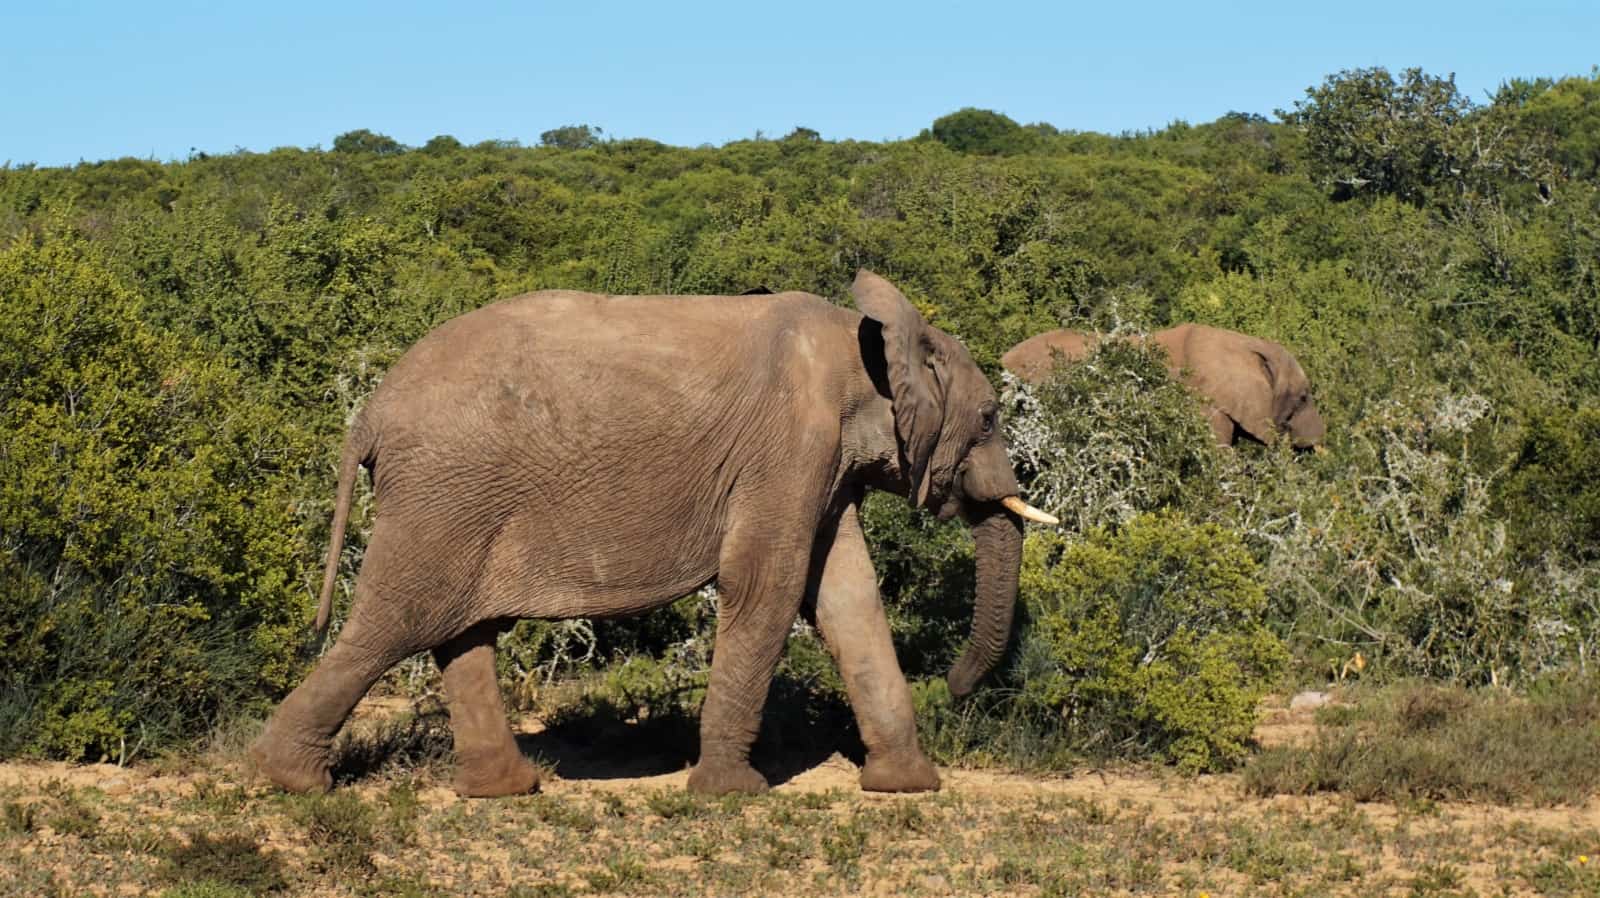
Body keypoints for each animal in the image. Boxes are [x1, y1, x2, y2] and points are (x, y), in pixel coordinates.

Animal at [249, 267, 1056, 797]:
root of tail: (371, 412)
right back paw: (290, 782)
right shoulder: (789, 445)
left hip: (460, 497)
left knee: (460, 631)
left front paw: (908, 787)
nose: (954, 689)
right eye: (990, 417)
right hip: (444, 491)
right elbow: (769, 586)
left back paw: (507, 791)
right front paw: (731, 795)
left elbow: (845, 595)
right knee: (397, 622)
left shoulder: (824, 465)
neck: (868, 342)